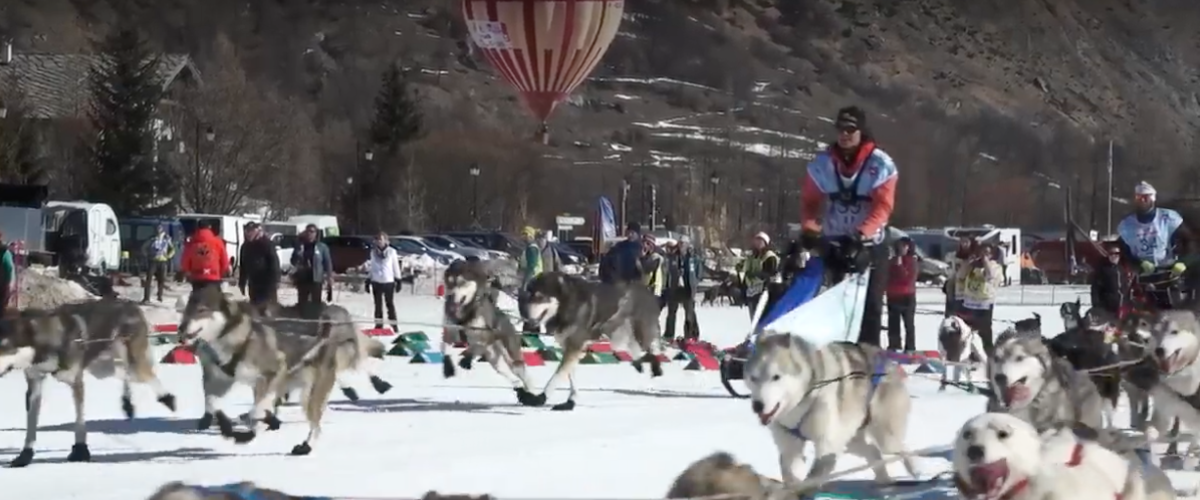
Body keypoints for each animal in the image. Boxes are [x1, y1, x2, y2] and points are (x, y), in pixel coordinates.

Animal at [0, 299, 176, 467]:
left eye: (5, 347)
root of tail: (131, 305)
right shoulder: (35, 383)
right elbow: (31, 424)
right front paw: (25, 456)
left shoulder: (76, 382)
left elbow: (79, 421)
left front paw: (80, 451)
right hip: (102, 370)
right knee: (124, 373)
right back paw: (128, 404)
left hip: (131, 361)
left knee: (144, 374)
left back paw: (167, 398)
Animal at [441, 258, 535, 390]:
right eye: (449, 282)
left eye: (462, 282)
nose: (450, 296)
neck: (465, 314)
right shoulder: (450, 335)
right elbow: (446, 349)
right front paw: (449, 368)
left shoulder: (485, 337)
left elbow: (475, 347)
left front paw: (466, 358)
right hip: (494, 359)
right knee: (504, 371)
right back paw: (516, 383)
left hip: (511, 357)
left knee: (524, 374)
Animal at [516, 273, 667, 410]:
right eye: (529, 295)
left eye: (539, 296)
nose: (524, 314)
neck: (566, 304)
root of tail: (647, 291)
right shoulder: (569, 347)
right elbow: (571, 376)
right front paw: (571, 401)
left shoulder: (574, 346)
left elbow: (557, 376)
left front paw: (540, 398)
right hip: (617, 336)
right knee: (633, 346)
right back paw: (639, 363)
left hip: (640, 331)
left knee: (652, 346)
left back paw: (656, 367)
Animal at [739, 333, 916, 489]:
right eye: (753, 378)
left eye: (776, 377)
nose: (757, 405)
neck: (801, 403)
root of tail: (889, 364)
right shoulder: (790, 448)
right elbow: (789, 473)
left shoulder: (826, 446)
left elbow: (813, 477)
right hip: (850, 441)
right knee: (873, 451)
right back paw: (883, 479)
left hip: (885, 438)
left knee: (901, 448)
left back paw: (914, 469)